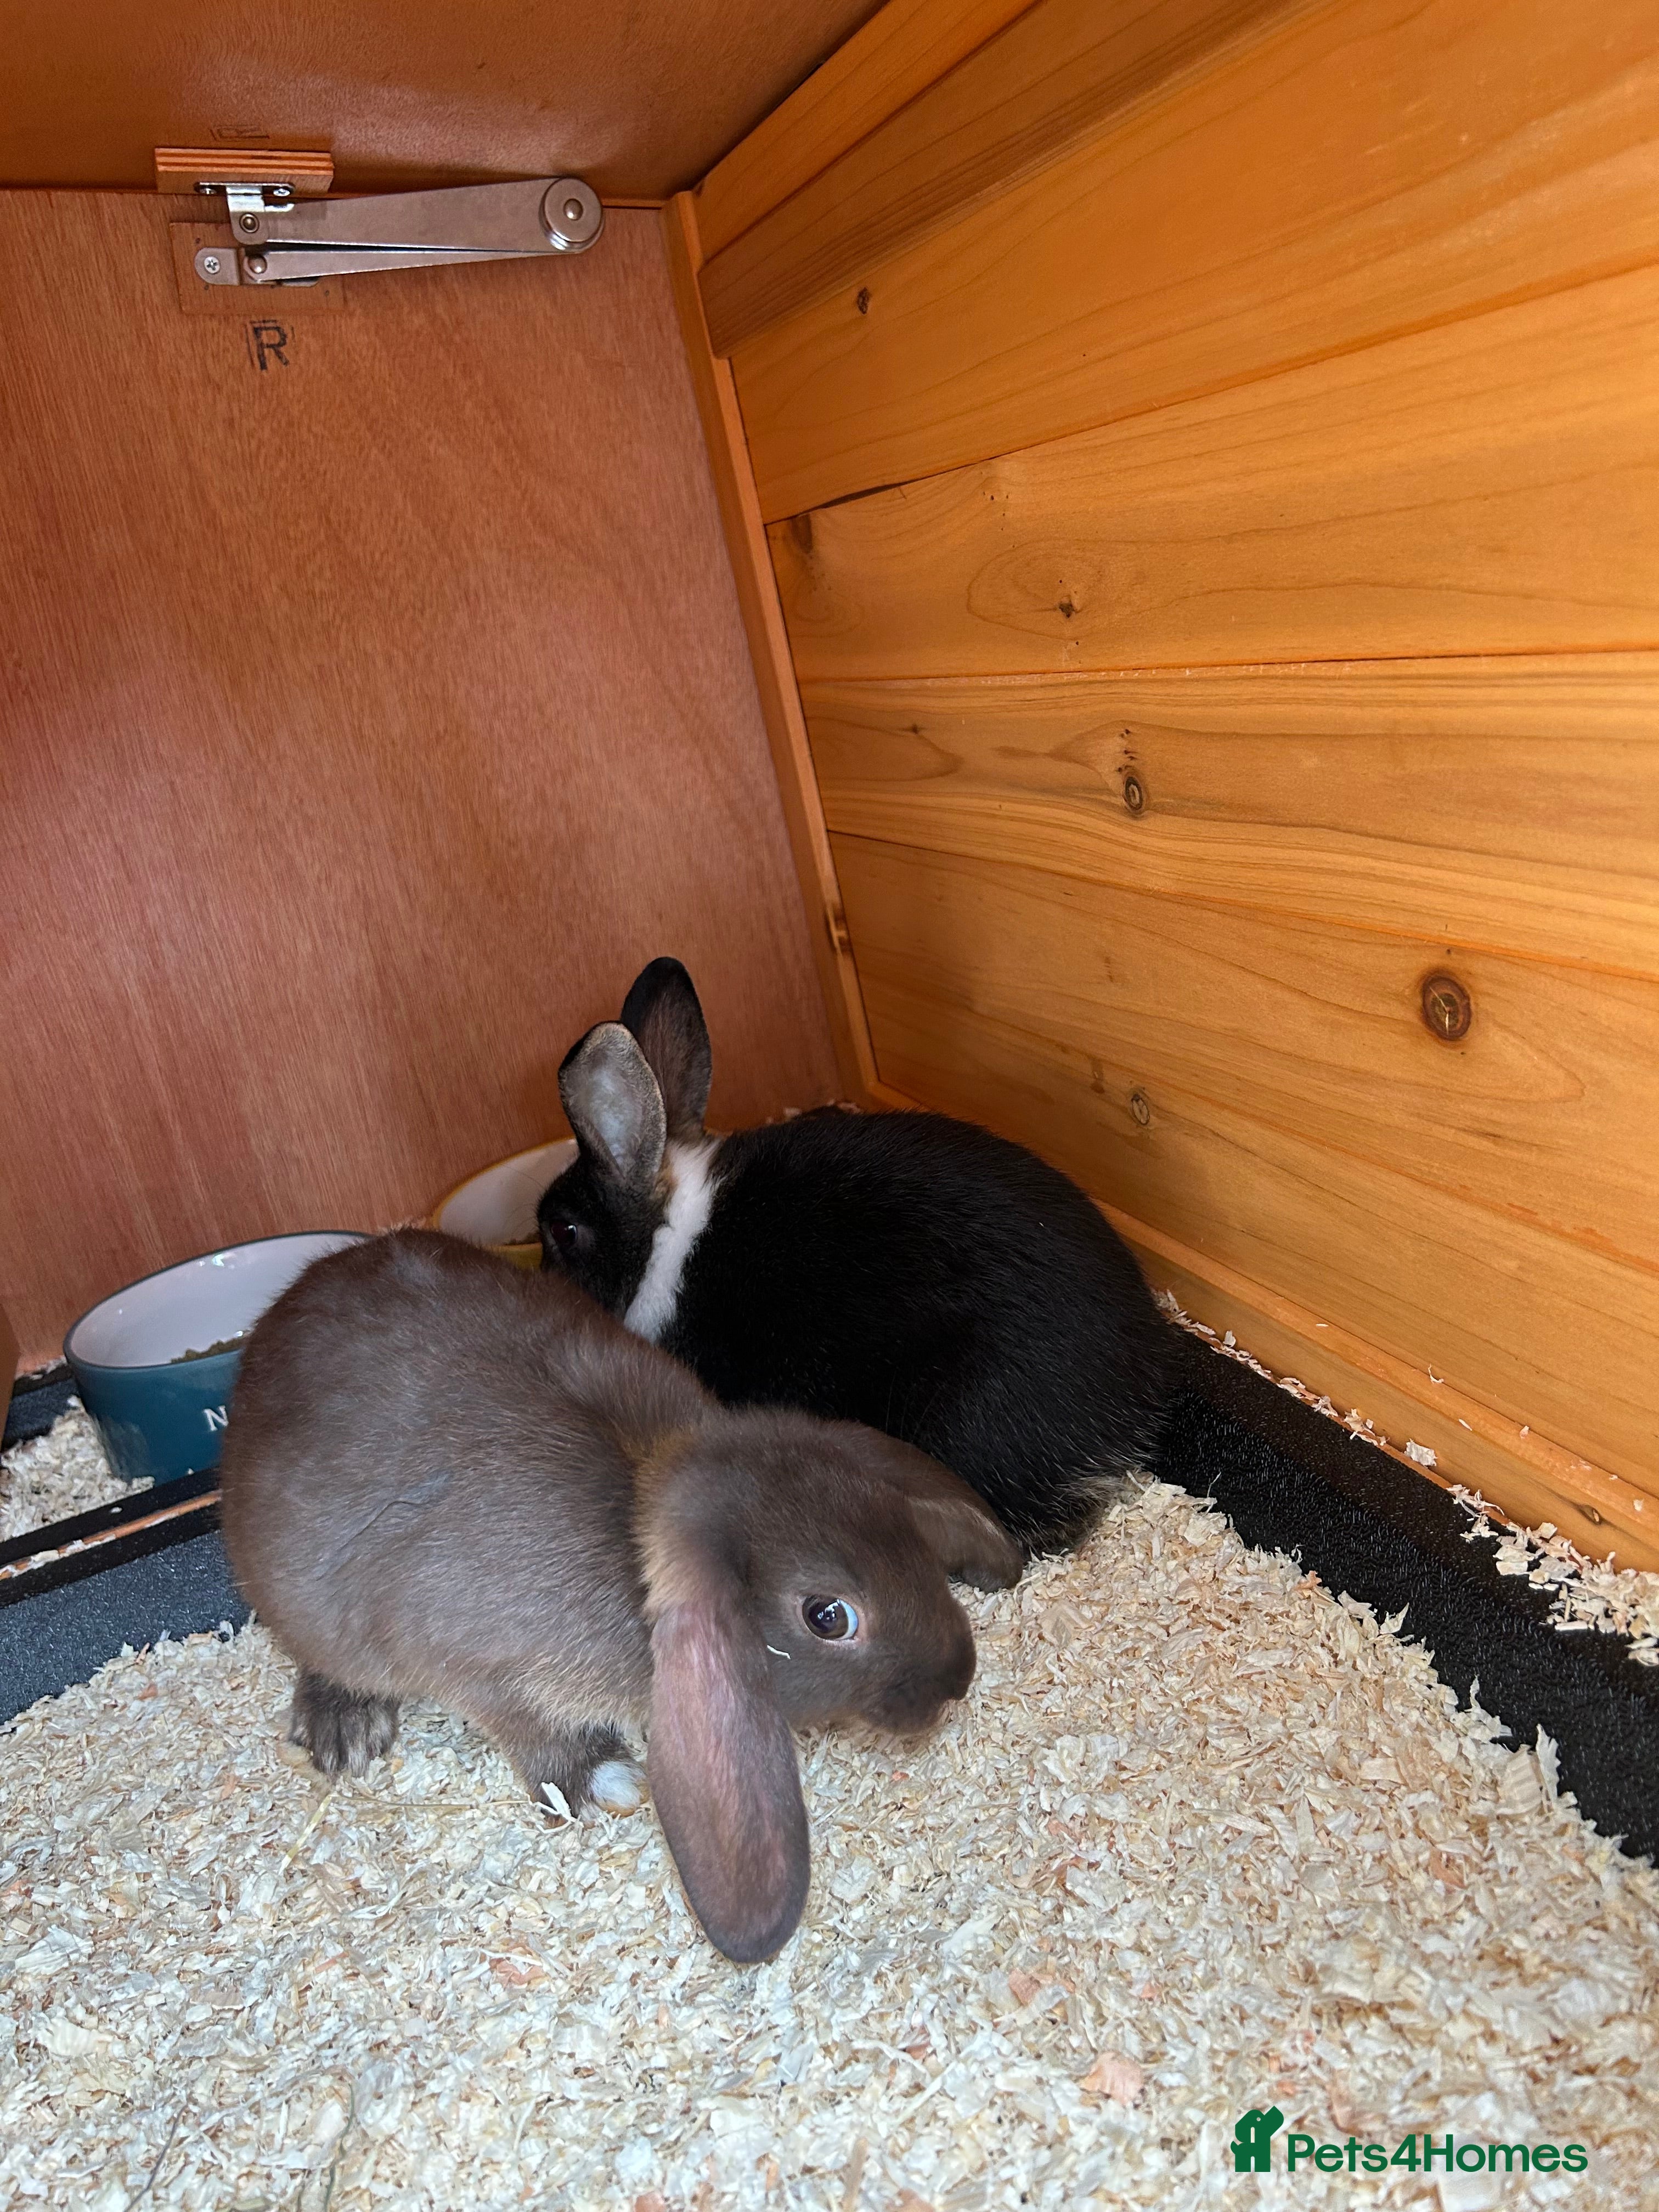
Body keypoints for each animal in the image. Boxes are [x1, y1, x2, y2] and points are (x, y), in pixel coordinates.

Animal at [218, 1228, 1020, 1963]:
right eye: (828, 1617)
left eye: (906, 1533)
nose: (957, 1680)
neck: (638, 1511)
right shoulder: (480, 1670)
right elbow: (532, 1733)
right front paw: (604, 1781)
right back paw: (346, 1729)